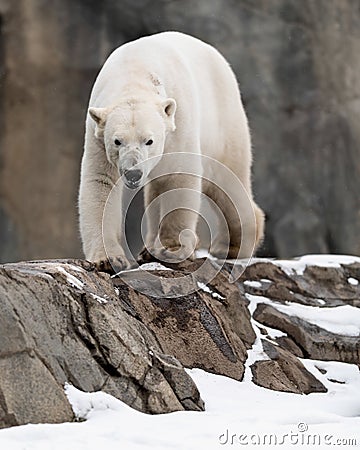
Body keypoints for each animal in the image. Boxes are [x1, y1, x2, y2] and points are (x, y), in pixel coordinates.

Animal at [79, 32, 264, 270]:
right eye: (117, 141)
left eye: (149, 141)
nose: (133, 173)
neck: (133, 75)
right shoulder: (97, 136)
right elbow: (101, 182)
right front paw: (109, 259)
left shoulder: (178, 120)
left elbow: (178, 175)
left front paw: (171, 249)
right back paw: (148, 248)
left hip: (224, 121)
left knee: (227, 180)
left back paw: (231, 245)